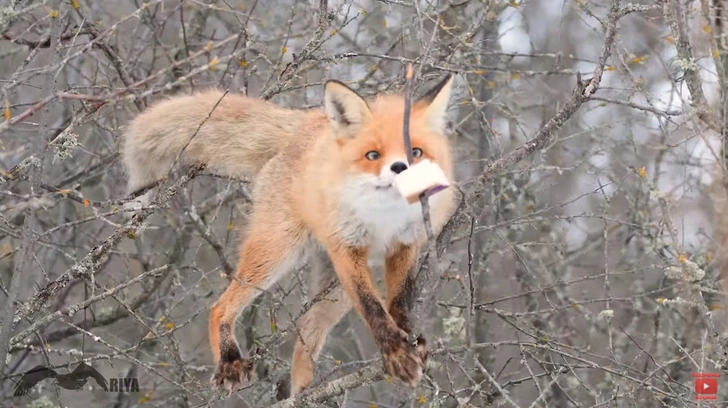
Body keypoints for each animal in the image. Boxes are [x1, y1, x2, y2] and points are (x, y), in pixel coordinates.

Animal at [121, 75, 458, 396]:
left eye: (415, 152)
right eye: (373, 155)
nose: (401, 169)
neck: (385, 218)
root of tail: (307, 124)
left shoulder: (406, 246)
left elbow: (400, 301)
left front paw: (408, 341)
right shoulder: (346, 250)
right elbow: (374, 309)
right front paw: (397, 352)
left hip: (334, 293)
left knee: (305, 338)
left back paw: (305, 393)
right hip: (278, 252)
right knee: (220, 307)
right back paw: (230, 360)